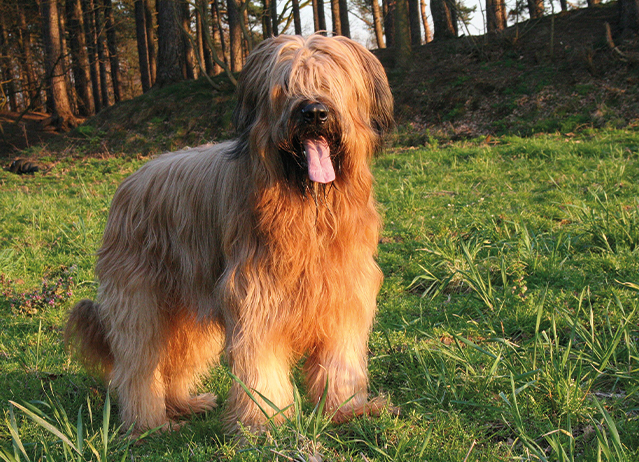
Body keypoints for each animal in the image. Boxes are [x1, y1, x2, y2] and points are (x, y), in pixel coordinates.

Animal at [65, 33, 396, 434]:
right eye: (286, 86)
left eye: (330, 82)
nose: (314, 112)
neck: (309, 207)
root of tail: (130, 181)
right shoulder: (257, 295)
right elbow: (260, 363)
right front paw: (266, 421)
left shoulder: (343, 293)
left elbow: (341, 357)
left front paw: (347, 409)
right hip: (140, 298)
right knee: (138, 363)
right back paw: (150, 423)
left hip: (188, 306)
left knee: (178, 357)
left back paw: (184, 404)